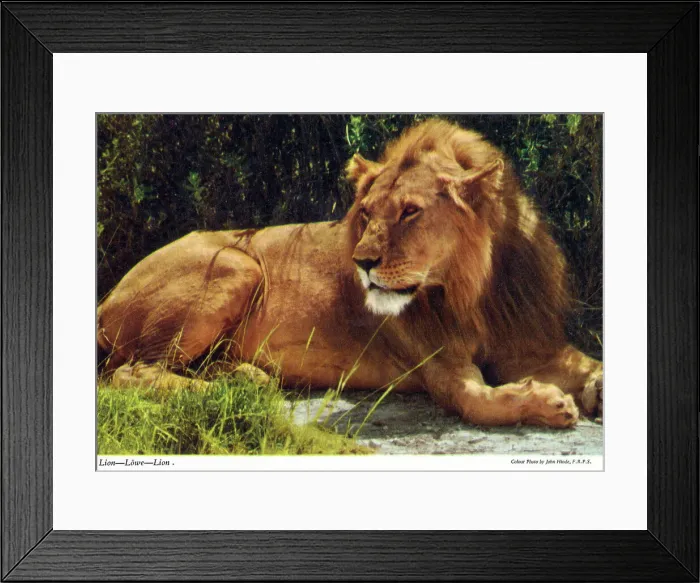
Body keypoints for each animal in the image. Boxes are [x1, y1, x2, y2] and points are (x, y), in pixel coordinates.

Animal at [97, 119, 603, 428]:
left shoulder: (528, 343)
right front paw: (550, 403)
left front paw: (595, 388)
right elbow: (478, 400)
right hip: (236, 263)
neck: (471, 291)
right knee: (129, 375)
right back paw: (230, 390)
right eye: (366, 213)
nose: (361, 262)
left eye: (410, 212)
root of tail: (106, 298)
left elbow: (588, 363)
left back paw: (244, 377)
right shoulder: (438, 366)